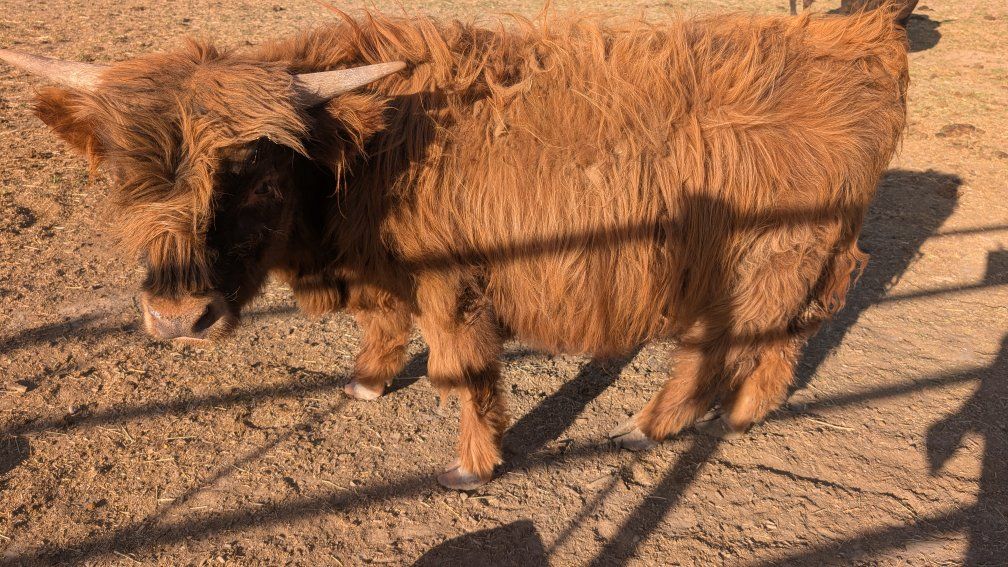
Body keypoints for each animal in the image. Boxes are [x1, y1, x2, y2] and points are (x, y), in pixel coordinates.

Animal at [0, 8, 909, 489]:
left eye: (251, 170)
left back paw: (648, 426)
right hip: (802, 259)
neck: (363, 153)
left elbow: (460, 371)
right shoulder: (381, 274)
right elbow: (380, 326)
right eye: (128, 176)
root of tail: (858, 43)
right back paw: (750, 411)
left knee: (720, 347)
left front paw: (473, 464)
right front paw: (368, 380)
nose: (175, 316)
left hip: (767, 258)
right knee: (783, 339)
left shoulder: (453, 285)